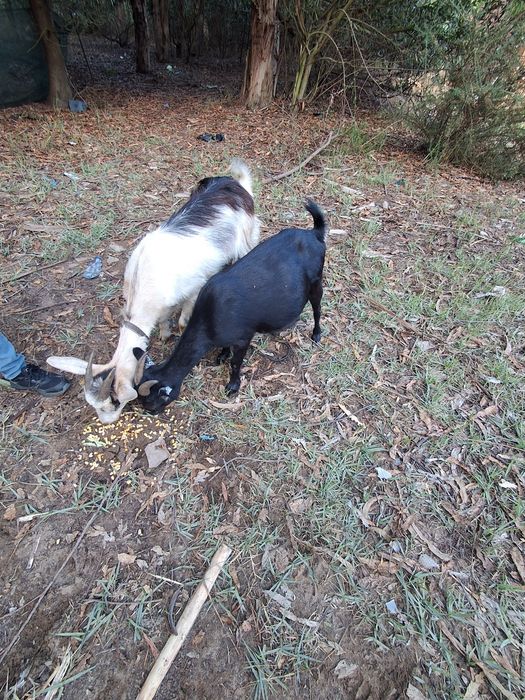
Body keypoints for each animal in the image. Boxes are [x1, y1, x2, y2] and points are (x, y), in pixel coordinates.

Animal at [47, 160, 260, 424]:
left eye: (115, 401)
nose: (107, 421)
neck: (143, 285)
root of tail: (236, 183)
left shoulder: (194, 289)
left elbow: (183, 321)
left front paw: (175, 333)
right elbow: (164, 319)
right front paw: (165, 334)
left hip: (247, 239)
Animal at [136, 200, 327, 415]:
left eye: (151, 402)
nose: (151, 412)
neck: (209, 320)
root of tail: (314, 233)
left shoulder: (244, 337)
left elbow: (236, 363)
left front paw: (232, 386)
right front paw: (222, 355)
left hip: (316, 282)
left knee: (317, 308)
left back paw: (316, 334)